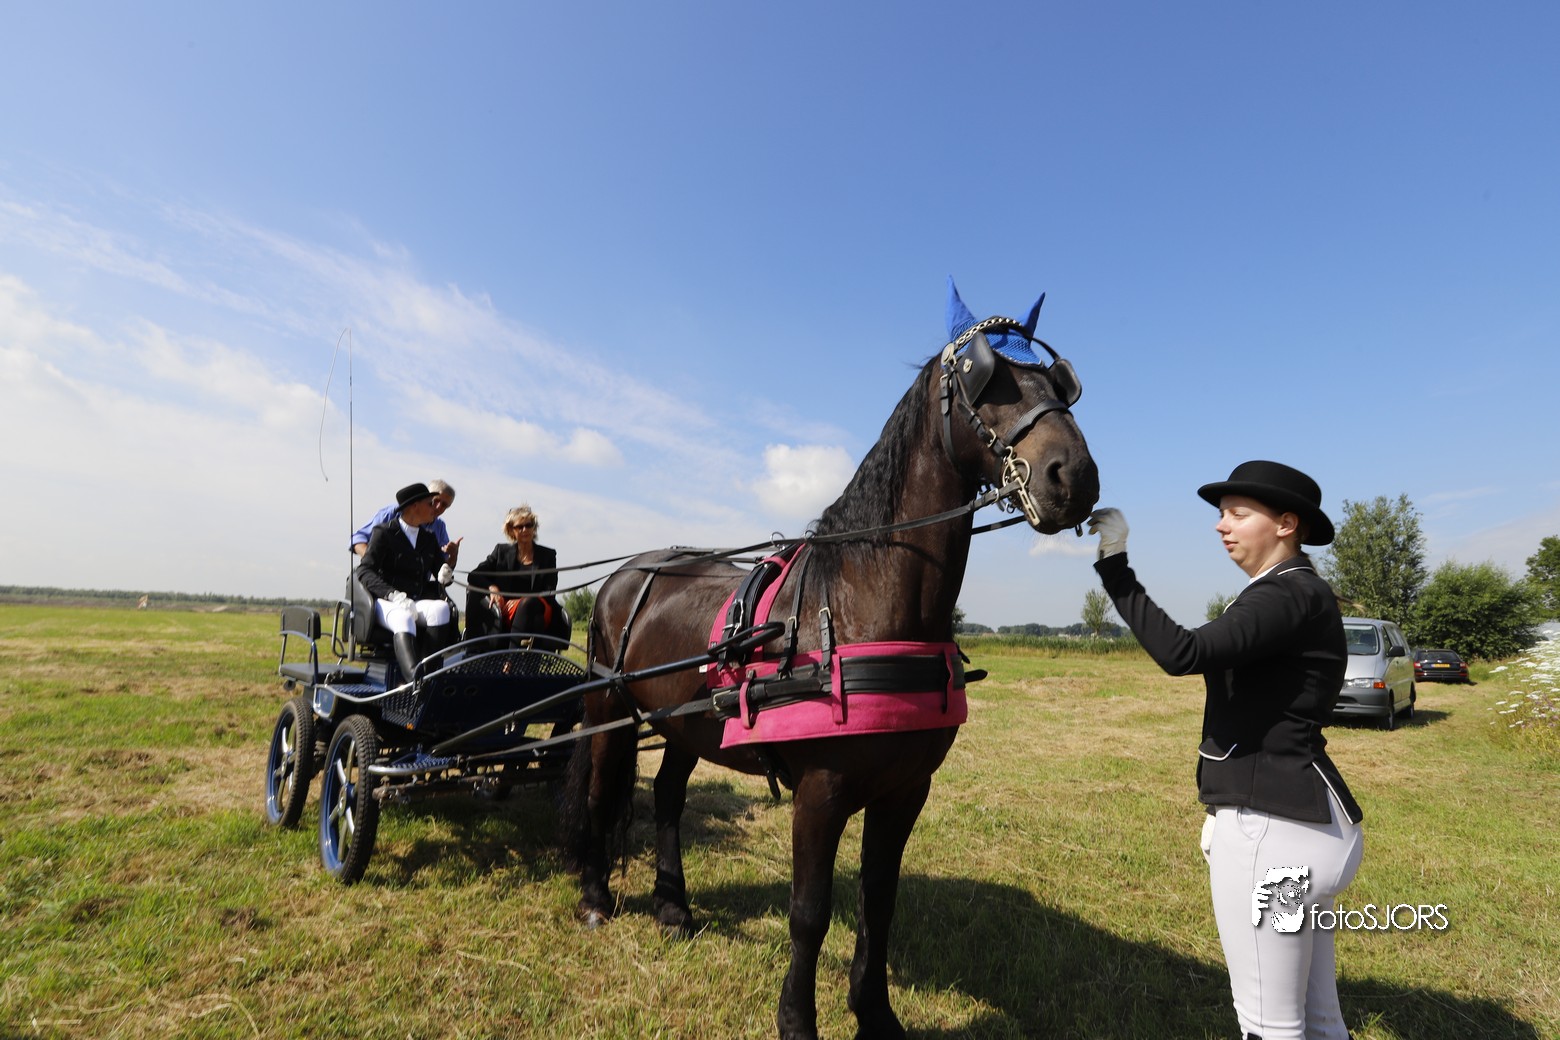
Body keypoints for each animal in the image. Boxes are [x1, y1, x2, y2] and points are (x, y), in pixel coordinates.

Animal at [560, 280, 1099, 1040]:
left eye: (1060, 383)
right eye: (983, 379)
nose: (1073, 476)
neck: (854, 604)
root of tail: (626, 573)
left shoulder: (905, 792)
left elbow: (880, 904)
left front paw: (875, 1014)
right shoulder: (820, 794)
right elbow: (809, 913)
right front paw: (797, 1020)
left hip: (686, 723)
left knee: (666, 796)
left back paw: (672, 906)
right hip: (608, 705)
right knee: (602, 790)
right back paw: (595, 898)